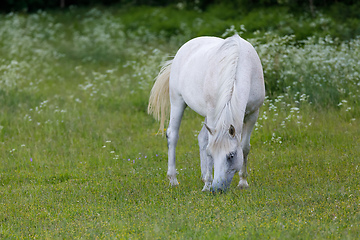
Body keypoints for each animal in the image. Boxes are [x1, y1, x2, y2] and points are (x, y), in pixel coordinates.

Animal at [148, 33, 264, 192]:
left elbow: (245, 147)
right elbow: (208, 145)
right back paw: (174, 180)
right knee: (173, 135)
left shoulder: (253, 114)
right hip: (178, 102)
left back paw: (203, 178)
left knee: (201, 138)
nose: (217, 189)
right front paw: (207, 185)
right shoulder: (213, 114)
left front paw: (243, 182)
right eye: (213, 154)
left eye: (231, 155)